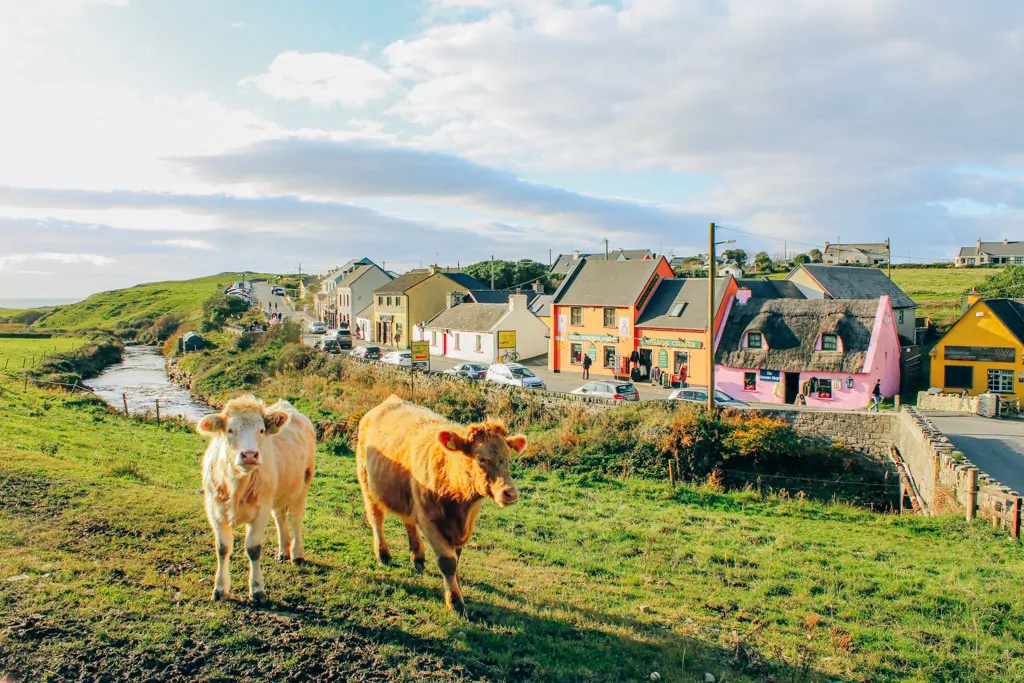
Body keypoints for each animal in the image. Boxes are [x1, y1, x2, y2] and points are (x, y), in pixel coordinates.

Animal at [196, 395, 315, 602]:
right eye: (230, 430)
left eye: (261, 430)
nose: (250, 455)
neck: (236, 484)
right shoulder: (214, 509)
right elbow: (222, 548)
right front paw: (220, 589)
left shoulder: (260, 511)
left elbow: (253, 549)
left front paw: (257, 589)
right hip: (277, 494)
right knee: (280, 517)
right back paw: (283, 552)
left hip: (301, 488)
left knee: (295, 519)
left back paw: (296, 554)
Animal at [356, 393, 524, 618]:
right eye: (482, 459)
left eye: (507, 459)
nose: (510, 492)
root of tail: (389, 400)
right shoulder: (430, 521)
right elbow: (448, 562)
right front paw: (455, 602)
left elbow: (457, 558)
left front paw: (458, 587)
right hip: (367, 482)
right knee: (376, 518)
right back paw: (383, 555)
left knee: (408, 520)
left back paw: (417, 556)